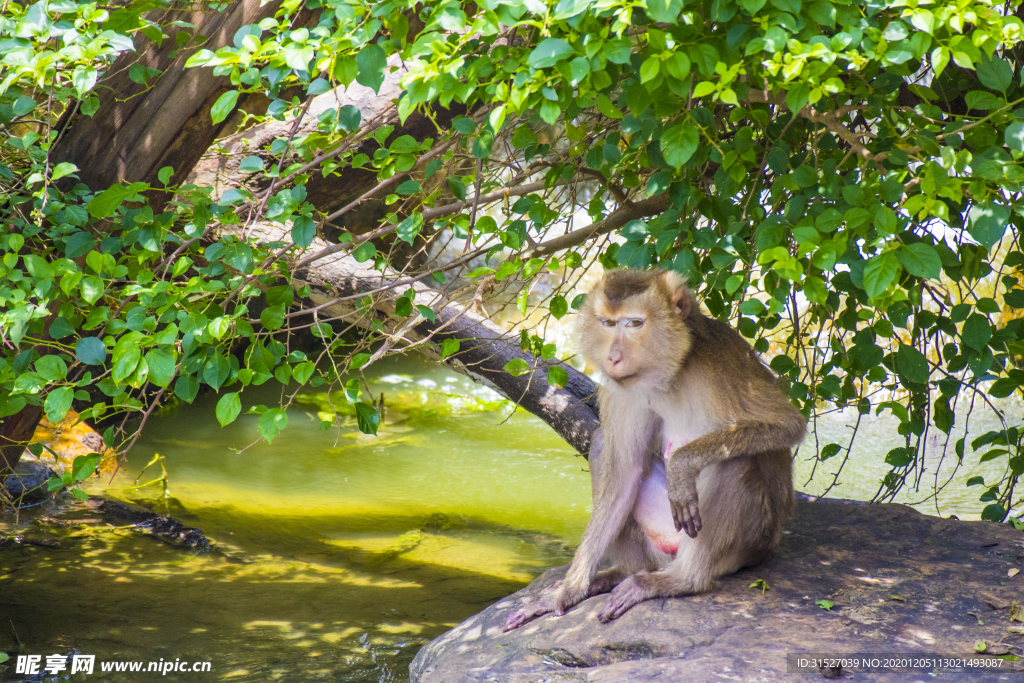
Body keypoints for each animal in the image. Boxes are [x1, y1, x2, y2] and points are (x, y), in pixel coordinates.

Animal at [503, 266, 806, 630]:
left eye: (634, 323)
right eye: (608, 323)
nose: (613, 357)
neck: (673, 372)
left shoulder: (722, 363)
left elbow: (786, 425)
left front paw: (682, 465)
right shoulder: (623, 391)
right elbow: (624, 471)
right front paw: (567, 592)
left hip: (747, 547)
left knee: (733, 463)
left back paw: (683, 580)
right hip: (659, 541)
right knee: (604, 446)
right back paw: (627, 573)